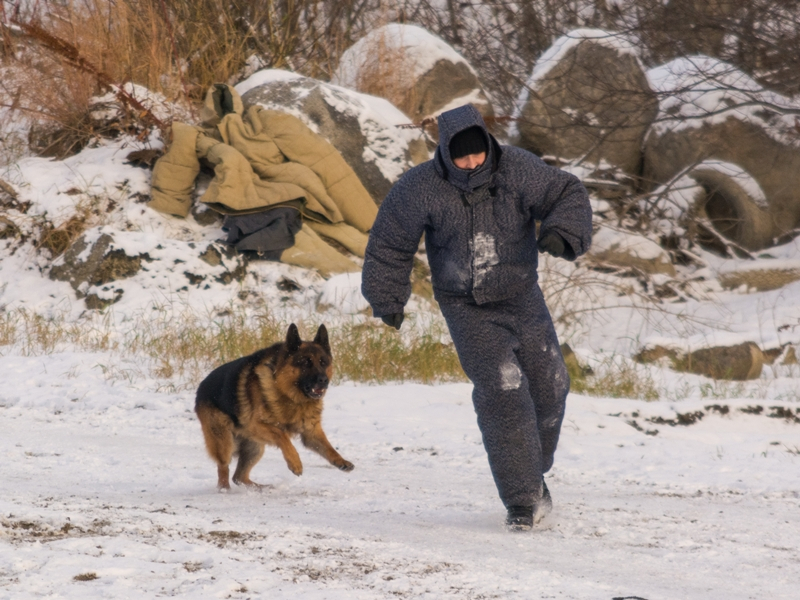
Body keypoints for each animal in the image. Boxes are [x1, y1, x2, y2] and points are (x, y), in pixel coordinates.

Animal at [194, 324, 354, 488]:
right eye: (305, 362)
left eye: (323, 362)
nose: (323, 380)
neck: (289, 395)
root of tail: (200, 387)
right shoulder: (256, 425)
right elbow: (281, 435)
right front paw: (295, 462)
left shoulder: (311, 433)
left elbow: (328, 447)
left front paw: (341, 460)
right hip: (225, 443)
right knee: (223, 469)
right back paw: (225, 490)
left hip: (254, 447)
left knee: (239, 477)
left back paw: (260, 488)